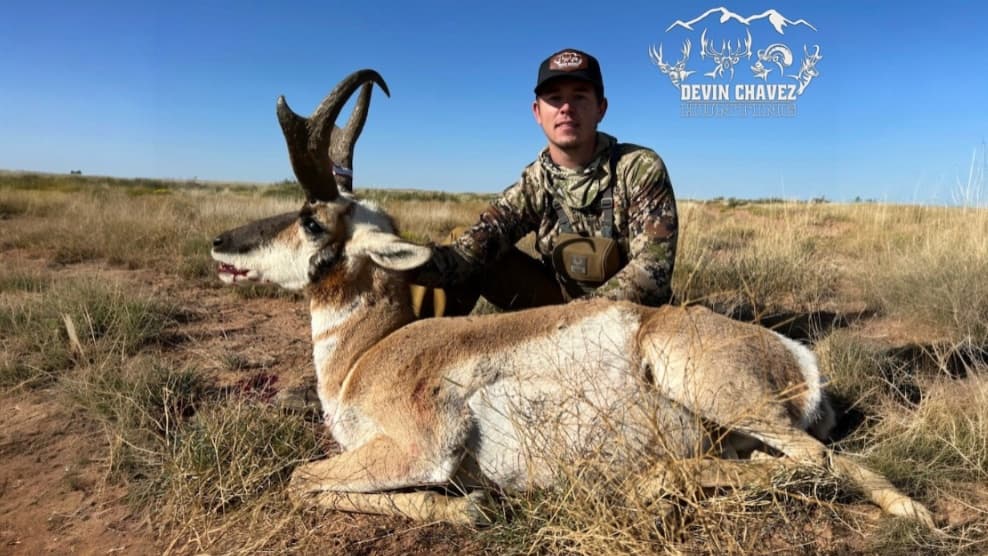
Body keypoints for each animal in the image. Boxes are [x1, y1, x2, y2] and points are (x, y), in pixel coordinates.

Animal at [210, 69, 935, 528]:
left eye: (310, 220)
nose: (220, 242)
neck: (367, 354)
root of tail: (795, 355)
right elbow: (306, 483)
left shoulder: (419, 448)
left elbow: (299, 482)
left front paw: (465, 507)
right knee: (783, 464)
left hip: (710, 388)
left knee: (824, 464)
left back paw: (913, 515)